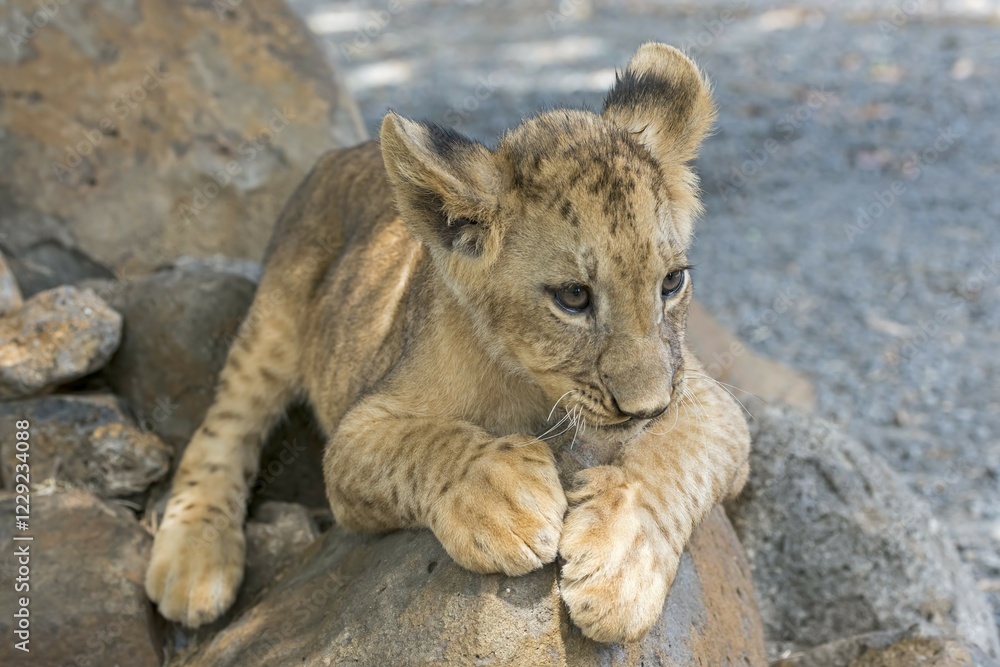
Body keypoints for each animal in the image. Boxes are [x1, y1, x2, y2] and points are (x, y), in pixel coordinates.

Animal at [145, 42, 751, 643]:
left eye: (671, 282)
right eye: (574, 297)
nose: (648, 408)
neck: (533, 385)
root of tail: (340, 154)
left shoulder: (708, 399)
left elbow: (673, 460)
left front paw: (622, 566)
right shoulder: (353, 434)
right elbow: (423, 445)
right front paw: (502, 497)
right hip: (275, 318)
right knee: (224, 428)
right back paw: (194, 563)